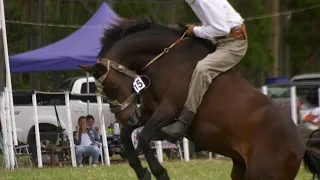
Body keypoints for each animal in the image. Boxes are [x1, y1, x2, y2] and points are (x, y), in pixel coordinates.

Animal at [79, 18, 320, 180]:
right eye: (102, 93)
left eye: (113, 87)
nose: (127, 117)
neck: (166, 59)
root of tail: (300, 146)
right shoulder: (148, 110)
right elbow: (127, 136)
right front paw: (142, 171)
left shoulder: (168, 110)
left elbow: (146, 137)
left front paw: (160, 172)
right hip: (241, 170)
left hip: (263, 175)